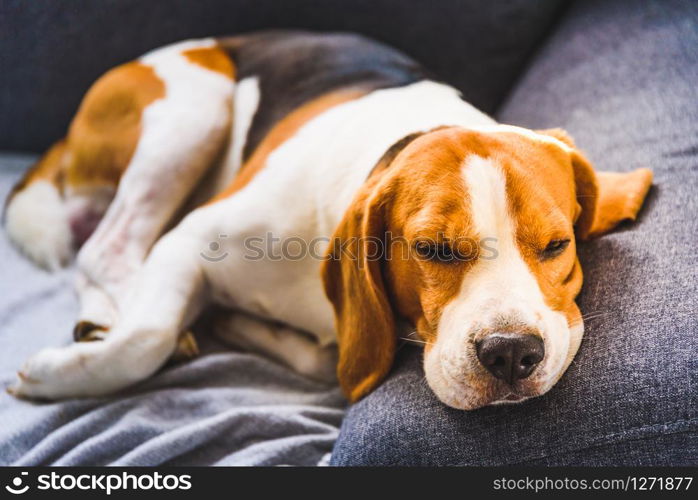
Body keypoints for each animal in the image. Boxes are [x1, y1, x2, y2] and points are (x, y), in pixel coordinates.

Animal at [2, 31, 648, 408]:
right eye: (433, 249)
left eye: (557, 244)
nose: (511, 353)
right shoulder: (187, 243)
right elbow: (146, 337)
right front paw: (55, 375)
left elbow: (323, 360)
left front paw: (240, 326)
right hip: (195, 106)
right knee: (108, 247)